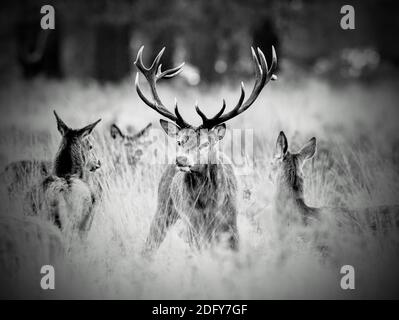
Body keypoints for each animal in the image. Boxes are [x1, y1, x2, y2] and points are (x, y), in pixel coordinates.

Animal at [135, 47, 278, 252]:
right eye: (179, 141)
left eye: (205, 143)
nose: (181, 160)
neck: (207, 207)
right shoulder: (193, 226)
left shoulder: (231, 225)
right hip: (163, 208)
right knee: (150, 244)